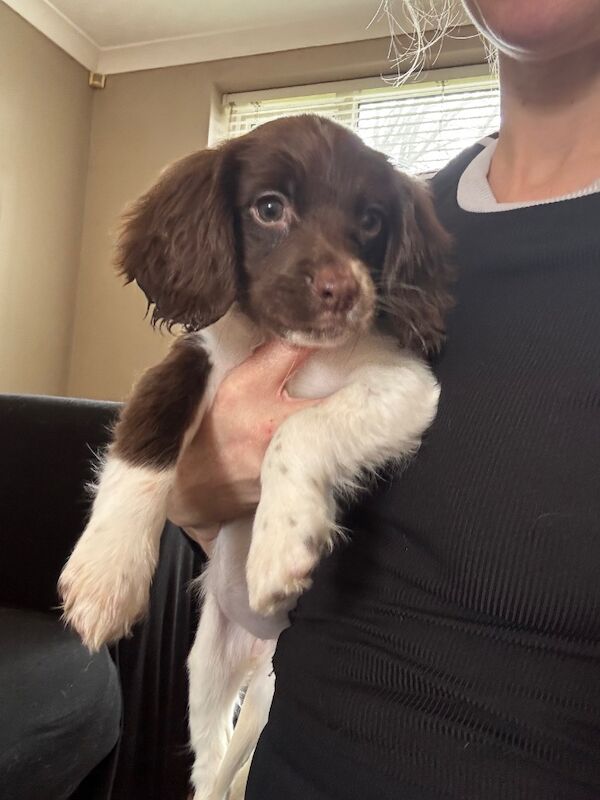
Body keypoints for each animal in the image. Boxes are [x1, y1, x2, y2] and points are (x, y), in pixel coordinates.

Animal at [58, 114, 452, 800]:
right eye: (269, 209)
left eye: (371, 220)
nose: (343, 290)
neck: (284, 343)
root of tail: (258, 654)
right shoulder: (194, 357)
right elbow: (143, 439)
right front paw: (105, 573)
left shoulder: (406, 387)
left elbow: (298, 431)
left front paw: (281, 543)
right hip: (205, 666)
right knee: (211, 760)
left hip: (259, 691)